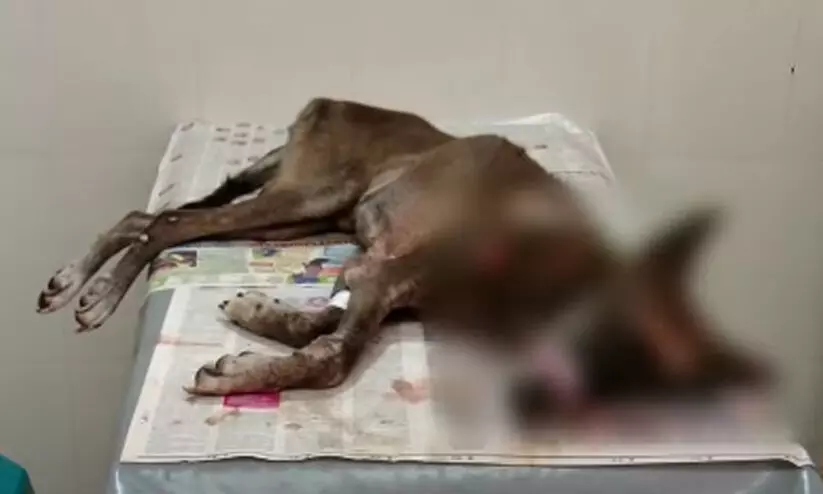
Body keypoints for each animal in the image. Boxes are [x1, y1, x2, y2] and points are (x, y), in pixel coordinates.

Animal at [37, 99, 769, 419]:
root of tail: (325, 104)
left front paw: (255, 321)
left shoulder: (377, 277)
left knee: (149, 220)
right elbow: (331, 359)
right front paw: (236, 372)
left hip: (306, 213)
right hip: (310, 193)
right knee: (166, 223)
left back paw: (75, 282)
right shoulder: (387, 271)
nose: (546, 402)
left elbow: (316, 330)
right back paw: (95, 294)